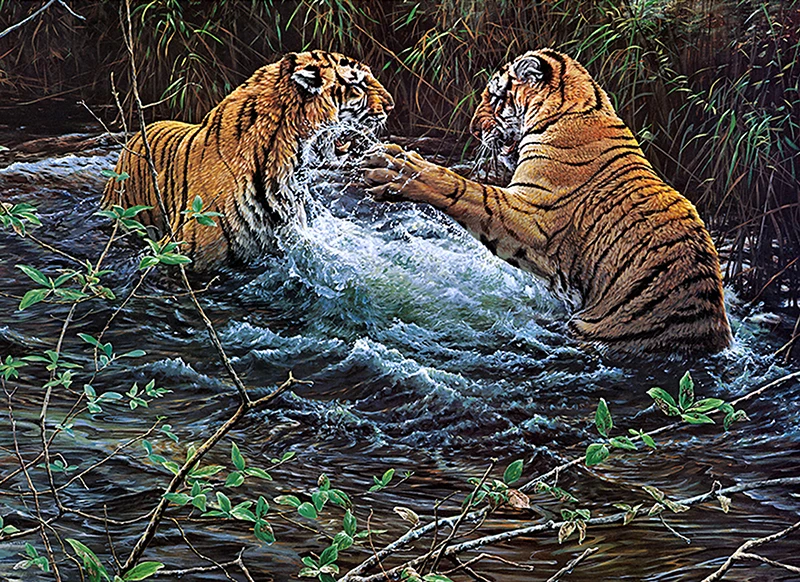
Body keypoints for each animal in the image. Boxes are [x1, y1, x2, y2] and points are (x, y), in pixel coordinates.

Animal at [363, 49, 732, 356]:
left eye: (494, 98)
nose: (471, 129)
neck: (577, 106)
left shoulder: (534, 217)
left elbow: (469, 191)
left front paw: (394, 167)